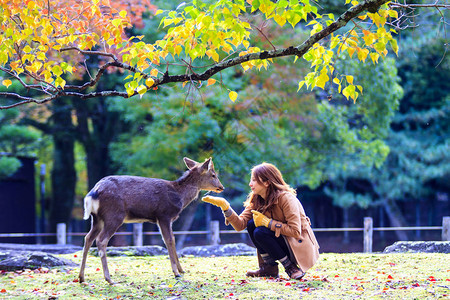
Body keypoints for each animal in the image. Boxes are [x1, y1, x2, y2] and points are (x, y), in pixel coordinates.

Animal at [79, 157, 225, 284]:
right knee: (101, 240)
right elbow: (169, 240)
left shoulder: (167, 219)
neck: (179, 197)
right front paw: (176, 272)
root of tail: (93, 192)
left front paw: (182, 270)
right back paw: (109, 279)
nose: (221, 187)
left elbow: (173, 239)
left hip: (97, 218)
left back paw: (81, 277)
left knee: (88, 238)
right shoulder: (164, 215)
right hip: (114, 215)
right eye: (213, 174)